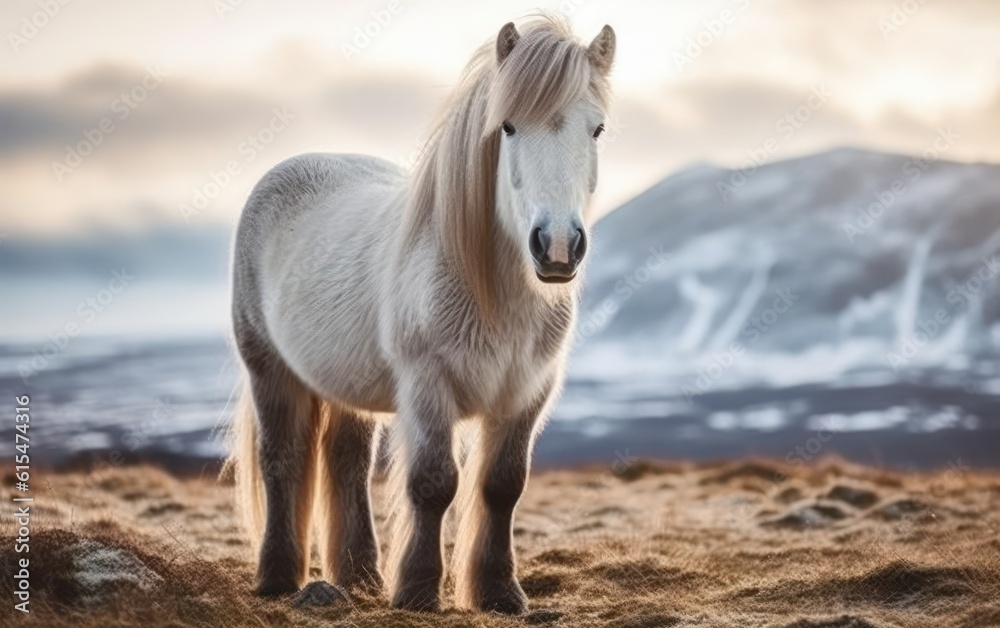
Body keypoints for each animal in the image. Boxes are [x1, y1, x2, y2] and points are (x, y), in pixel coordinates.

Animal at [228, 15, 612, 612]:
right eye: (507, 126)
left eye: (596, 129)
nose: (556, 247)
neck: (493, 294)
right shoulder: (429, 386)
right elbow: (434, 483)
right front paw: (416, 590)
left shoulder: (527, 393)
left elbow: (504, 486)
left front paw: (500, 592)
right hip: (268, 368)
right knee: (282, 460)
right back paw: (276, 578)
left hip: (346, 382)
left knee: (346, 460)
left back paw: (359, 577)